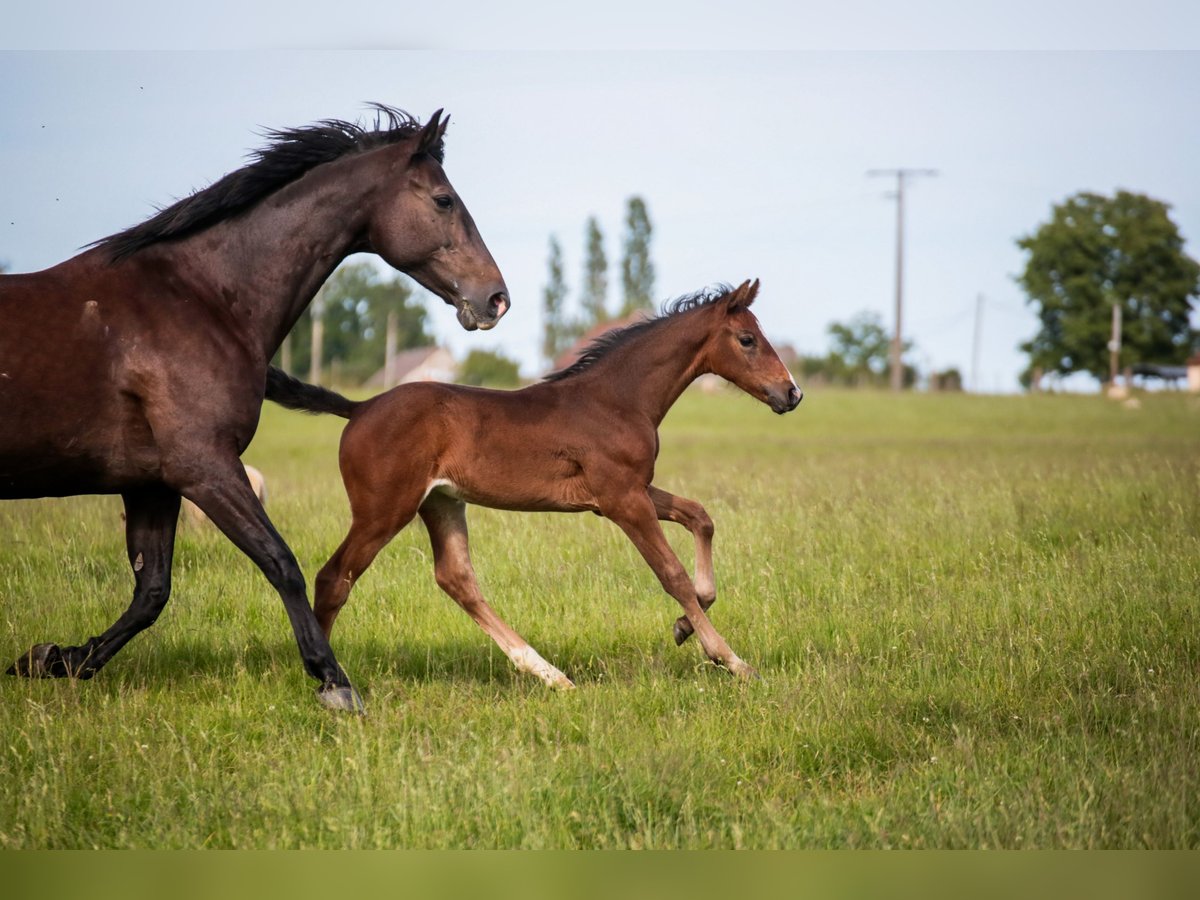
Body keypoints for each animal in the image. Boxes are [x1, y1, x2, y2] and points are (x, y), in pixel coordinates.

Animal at [0, 105, 508, 710]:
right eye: (443, 200)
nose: (497, 299)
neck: (202, 298)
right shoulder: (205, 466)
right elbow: (281, 562)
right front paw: (334, 682)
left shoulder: (153, 482)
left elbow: (151, 591)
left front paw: (54, 659)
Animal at [267, 282, 801, 691]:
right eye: (748, 339)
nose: (791, 393)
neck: (617, 399)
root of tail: (359, 408)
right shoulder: (622, 500)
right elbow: (672, 574)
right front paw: (731, 660)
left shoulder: (625, 493)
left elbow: (700, 517)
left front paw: (684, 628)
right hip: (383, 510)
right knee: (334, 578)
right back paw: (328, 679)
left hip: (440, 503)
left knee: (457, 579)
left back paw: (549, 674)